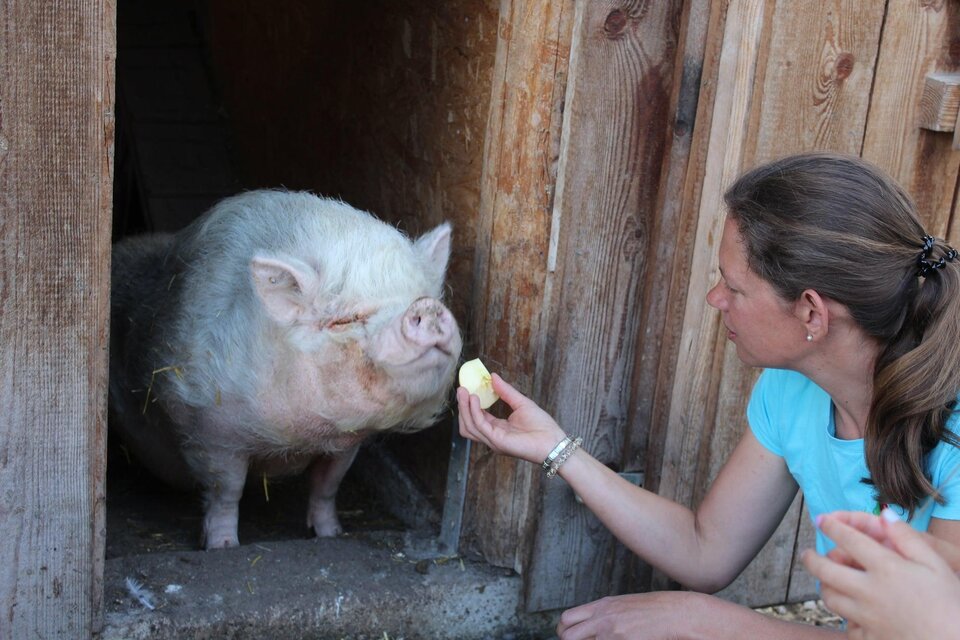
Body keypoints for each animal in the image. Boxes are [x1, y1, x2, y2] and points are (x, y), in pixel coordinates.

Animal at [109, 190, 462, 549]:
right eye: (345, 319)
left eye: (425, 295)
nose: (426, 307)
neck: (301, 437)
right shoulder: (210, 430)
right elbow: (227, 491)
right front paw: (223, 547)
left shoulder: (347, 444)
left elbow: (327, 486)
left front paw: (332, 534)